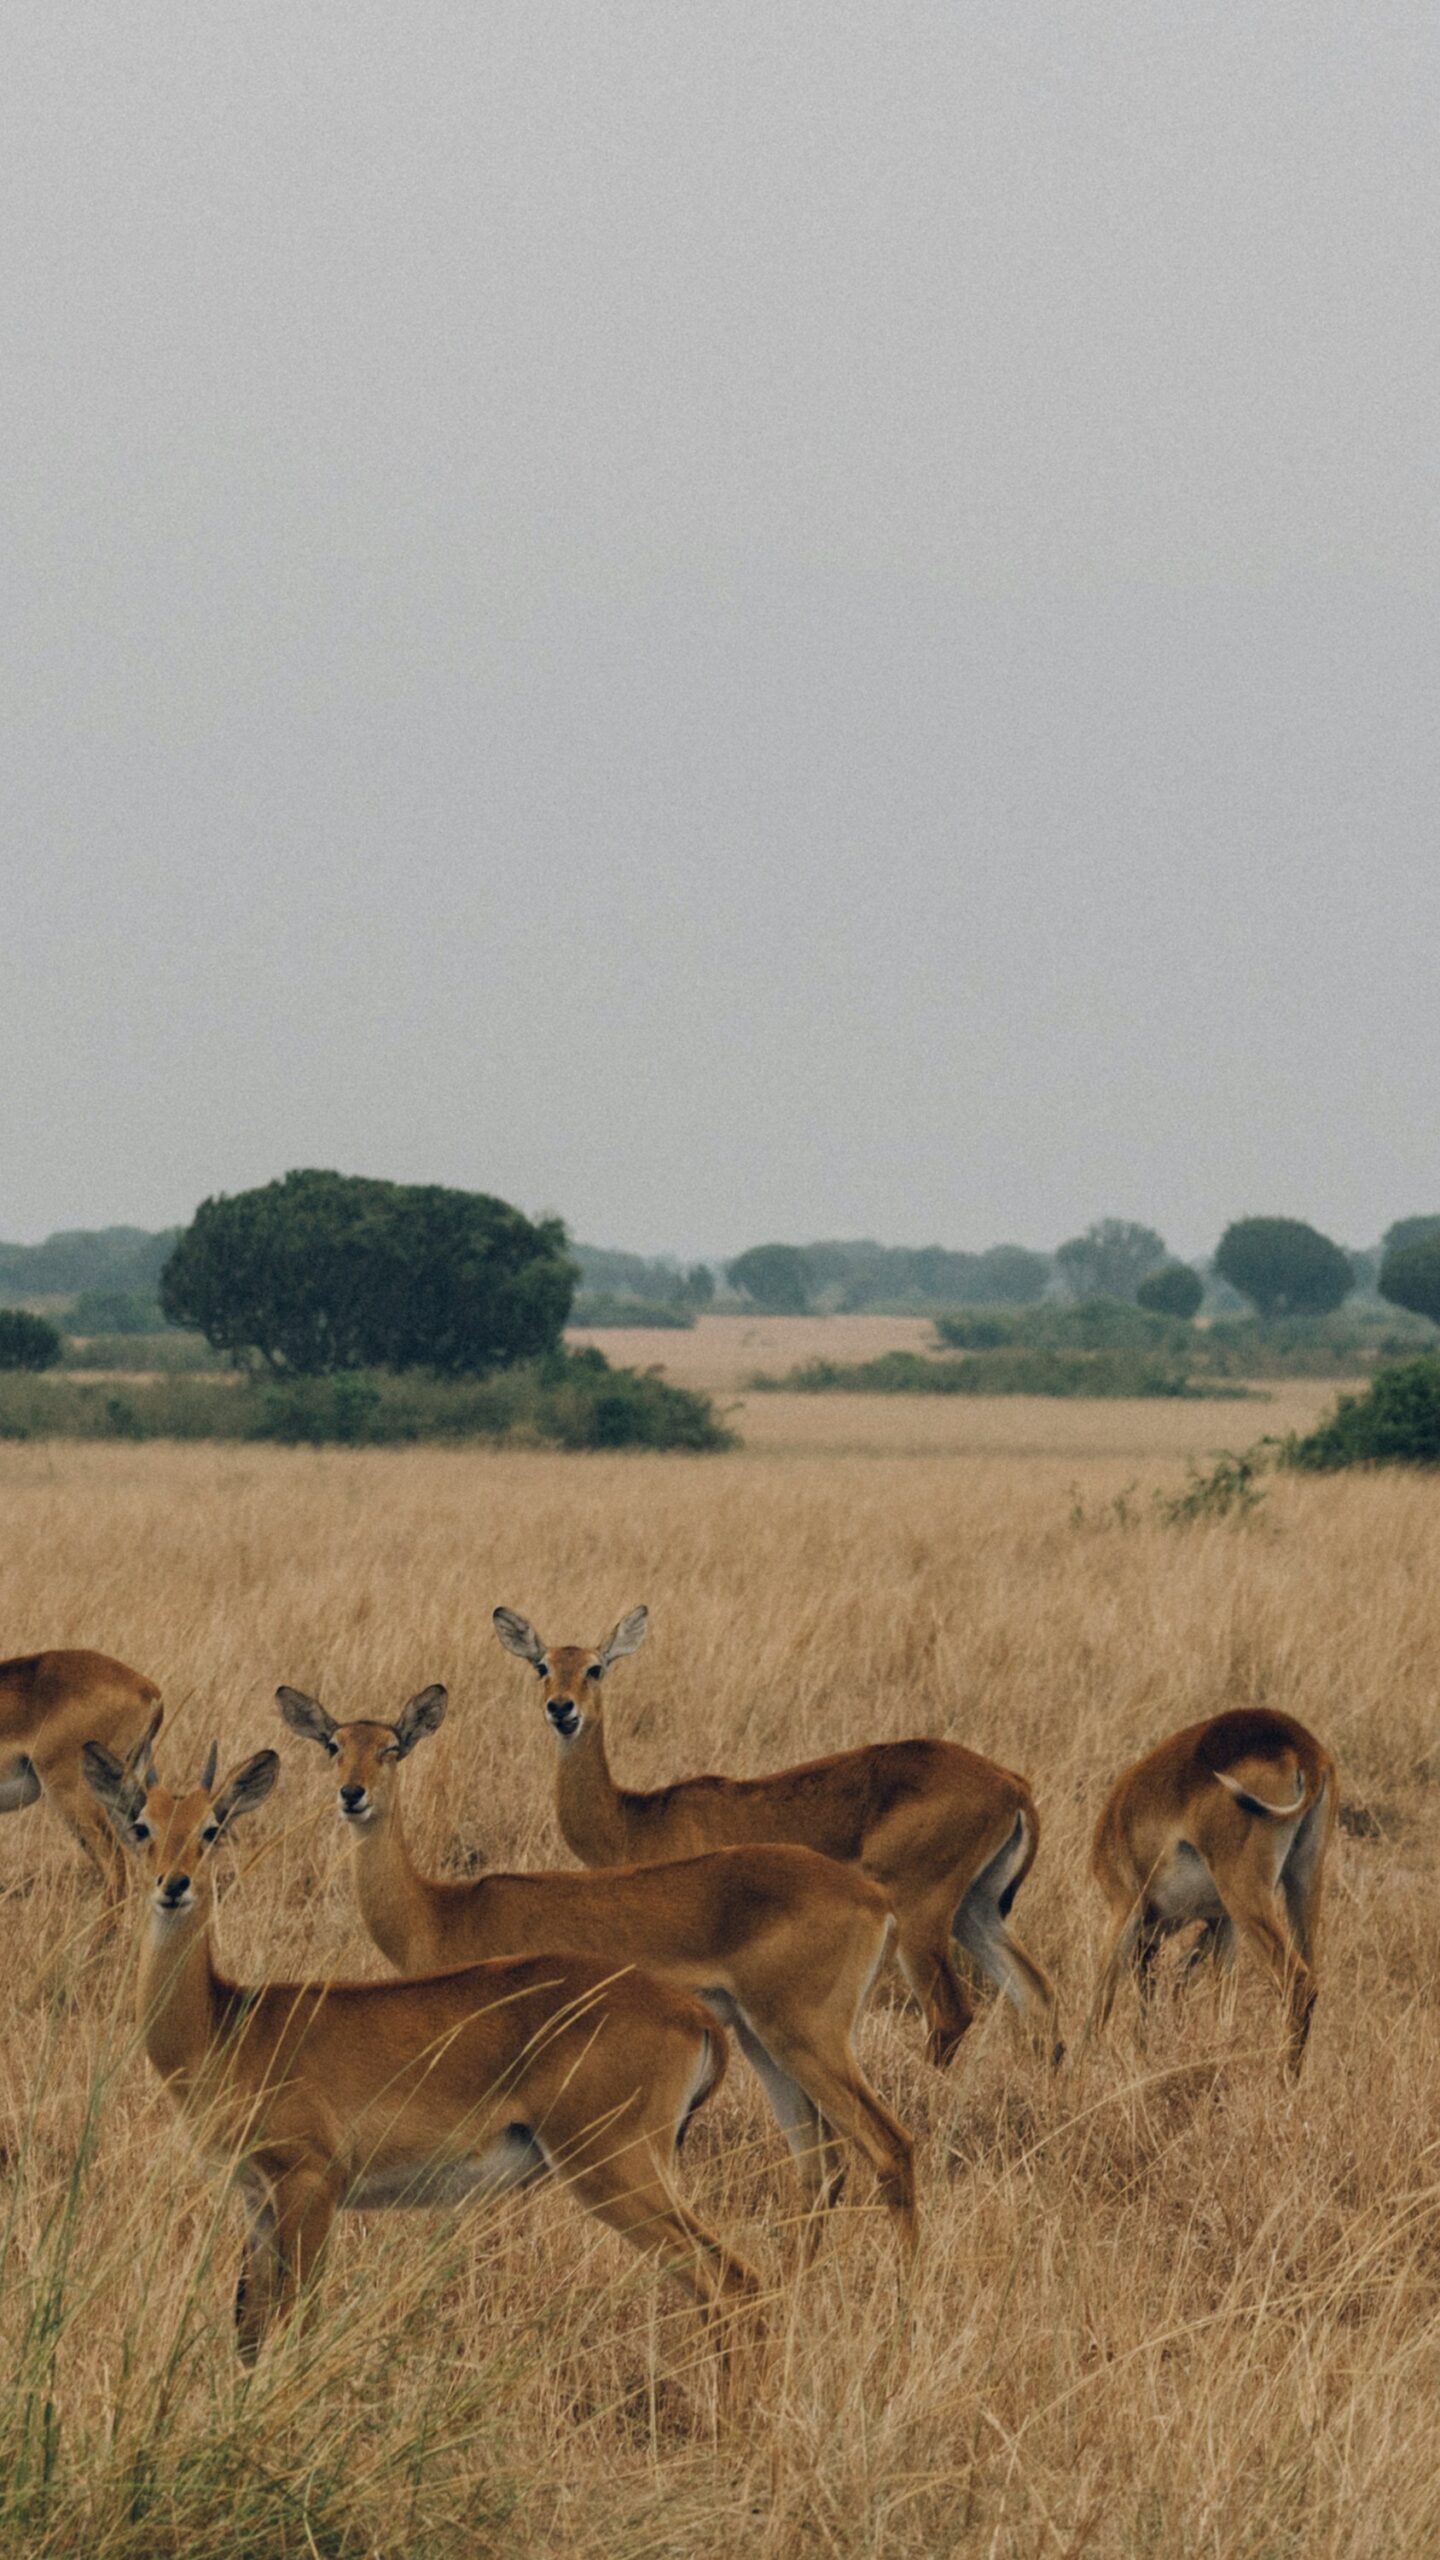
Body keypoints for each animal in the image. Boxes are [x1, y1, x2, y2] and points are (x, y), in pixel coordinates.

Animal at [82, 1710, 763, 2365]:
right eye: (141, 1826)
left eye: (211, 1828)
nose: (174, 1885)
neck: (225, 2026)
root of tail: (690, 2014)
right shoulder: (255, 2200)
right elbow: (248, 2330)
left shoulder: (310, 2185)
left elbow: (297, 2321)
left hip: (614, 2167)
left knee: (732, 2280)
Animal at [274, 1689, 912, 2252]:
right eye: (334, 1745)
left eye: (391, 1747)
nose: (352, 1795)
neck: (441, 1912)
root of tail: (876, 1899)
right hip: (764, 2043)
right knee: (822, 2169)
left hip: (804, 2038)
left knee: (890, 2148)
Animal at [491, 1607, 1055, 2068]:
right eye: (542, 1666)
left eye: (595, 1666)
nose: (562, 1710)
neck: (637, 1818)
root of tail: (1011, 1783)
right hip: (976, 1910)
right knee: (1036, 1993)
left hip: (923, 1914)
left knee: (952, 2014)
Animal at [1086, 1699, 1332, 2078]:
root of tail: (1301, 1747)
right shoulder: (1221, 1922)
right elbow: (1211, 2001)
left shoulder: (1125, 1908)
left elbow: (1101, 2001)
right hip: (1301, 1885)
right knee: (1308, 1976)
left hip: (1246, 1894)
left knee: (1298, 1982)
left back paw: (1281, 2080)